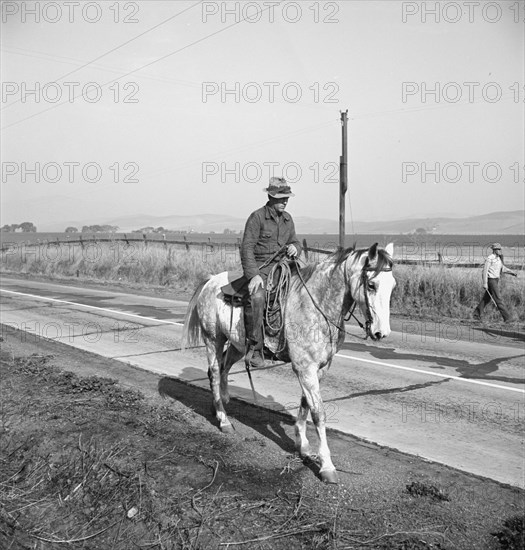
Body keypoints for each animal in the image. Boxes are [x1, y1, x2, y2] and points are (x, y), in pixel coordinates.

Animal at [180, 245, 392, 484]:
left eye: (392, 285)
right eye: (372, 284)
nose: (381, 332)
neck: (316, 305)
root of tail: (210, 281)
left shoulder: (319, 368)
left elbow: (305, 404)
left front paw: (303, 445)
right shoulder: (305, 367)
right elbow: (318, 413)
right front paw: (326, 465)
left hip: (237, 345)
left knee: (223, 369)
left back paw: (222, 402)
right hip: (213, 339)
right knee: (215, 372)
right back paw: (223, 419)